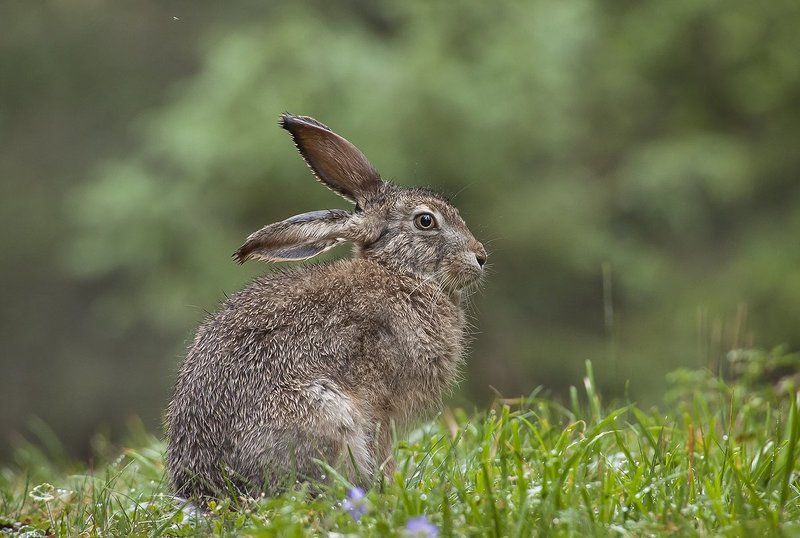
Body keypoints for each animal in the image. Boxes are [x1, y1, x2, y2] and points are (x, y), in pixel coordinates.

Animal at [166, 113, 487, 498]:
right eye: (426, 221)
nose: (481, 257)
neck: (399, 272)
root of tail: (207, 490)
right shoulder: (380, 401)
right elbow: (382, 446)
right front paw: (394, 487)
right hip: (328, 415)